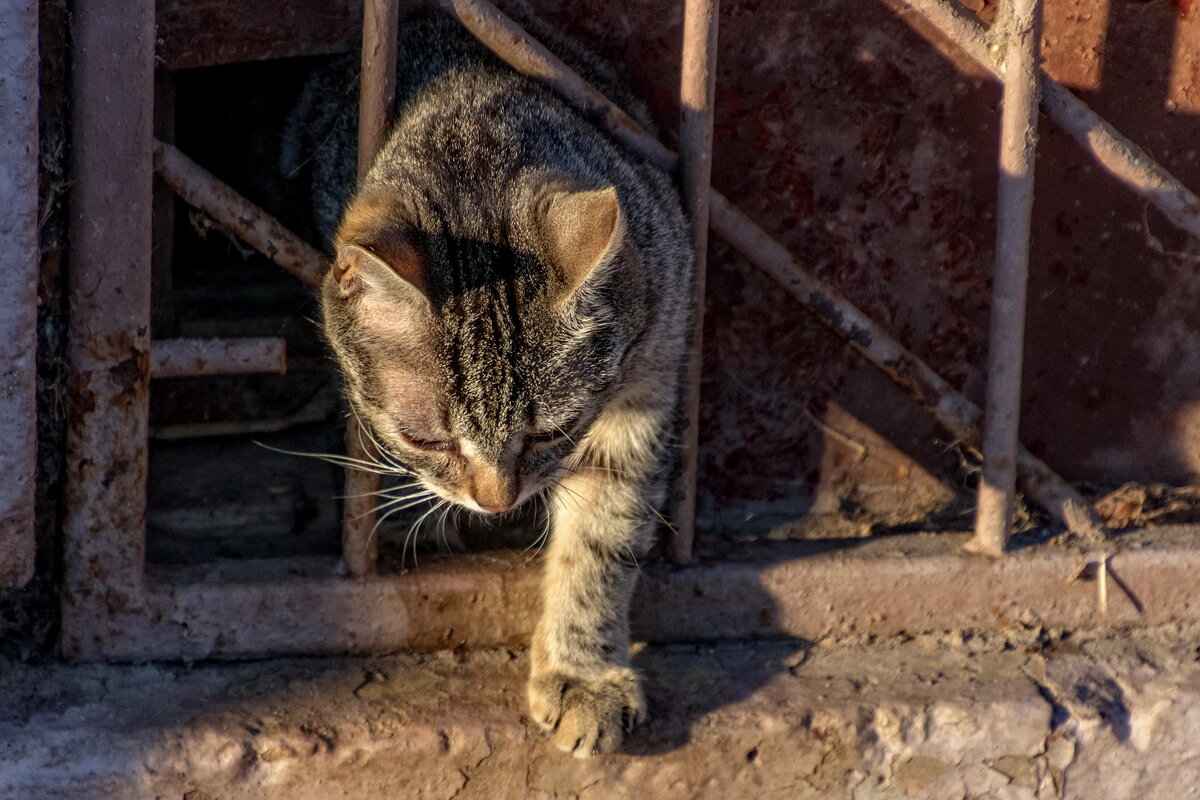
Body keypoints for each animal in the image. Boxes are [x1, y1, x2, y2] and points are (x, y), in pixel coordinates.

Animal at [284, 7, 691, 758]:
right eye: (426, 439)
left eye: (555, 429)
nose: (497, 504)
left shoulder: (650, 376)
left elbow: (603, 539)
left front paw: (582, 672)